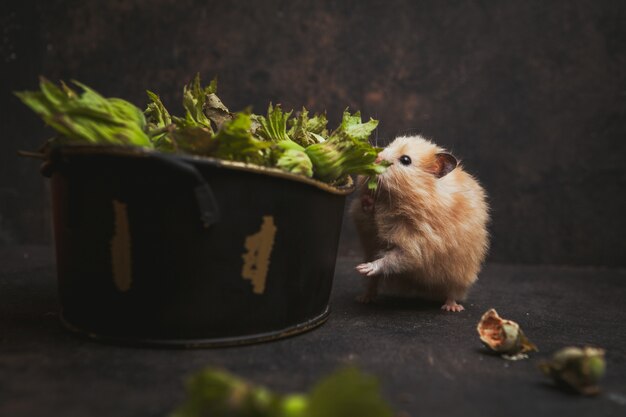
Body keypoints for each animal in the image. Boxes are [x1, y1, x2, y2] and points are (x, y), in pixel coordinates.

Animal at [352, 135, 488, 310]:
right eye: (389, 145)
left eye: (405, 160)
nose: (375, 158)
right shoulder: (366, 223)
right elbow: (367, 212)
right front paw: (368, 201)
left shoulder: (418, 244)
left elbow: (396, 258)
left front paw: (365, 267)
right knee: (372, 284)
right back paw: (364, 298)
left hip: (460, 274)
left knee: (452, 290)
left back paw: (451, 307)